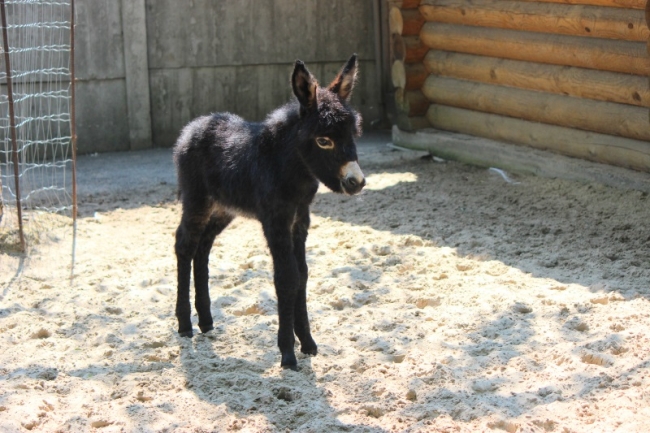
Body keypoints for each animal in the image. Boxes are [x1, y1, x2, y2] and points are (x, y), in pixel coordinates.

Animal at [172, 54, 364, 368]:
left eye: (354, 135)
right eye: (323, 140)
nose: (356, 182)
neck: (290, 169)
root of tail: (194, 126)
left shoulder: (300, 220)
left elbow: (303, 275)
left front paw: (307, 342)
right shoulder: (276, 221)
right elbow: (287, 277)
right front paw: (287, 353)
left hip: (224, 208)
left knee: (203, 246)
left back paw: (206, 321)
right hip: (197, 201)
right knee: (184, 245)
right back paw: (185, 324)